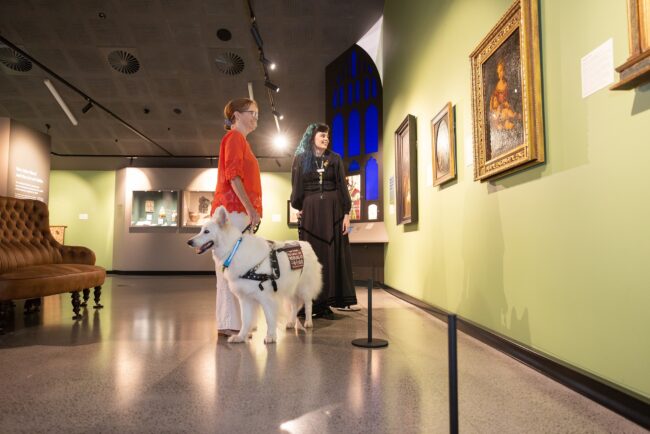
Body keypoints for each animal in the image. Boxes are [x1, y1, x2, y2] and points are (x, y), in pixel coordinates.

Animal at [187, 206, 322, 344]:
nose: (189, 242)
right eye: (201, 230)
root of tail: (305, 244)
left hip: (303, 288)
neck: (233, 248)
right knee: (294, 306)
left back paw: (308, 322)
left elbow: (269, 318)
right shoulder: (245, 298)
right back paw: (290, 322)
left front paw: (271, 336)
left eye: (206, 231)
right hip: (290, 288)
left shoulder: (266, 298)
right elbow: (245, 319)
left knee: (308, 303)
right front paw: (241, 336)